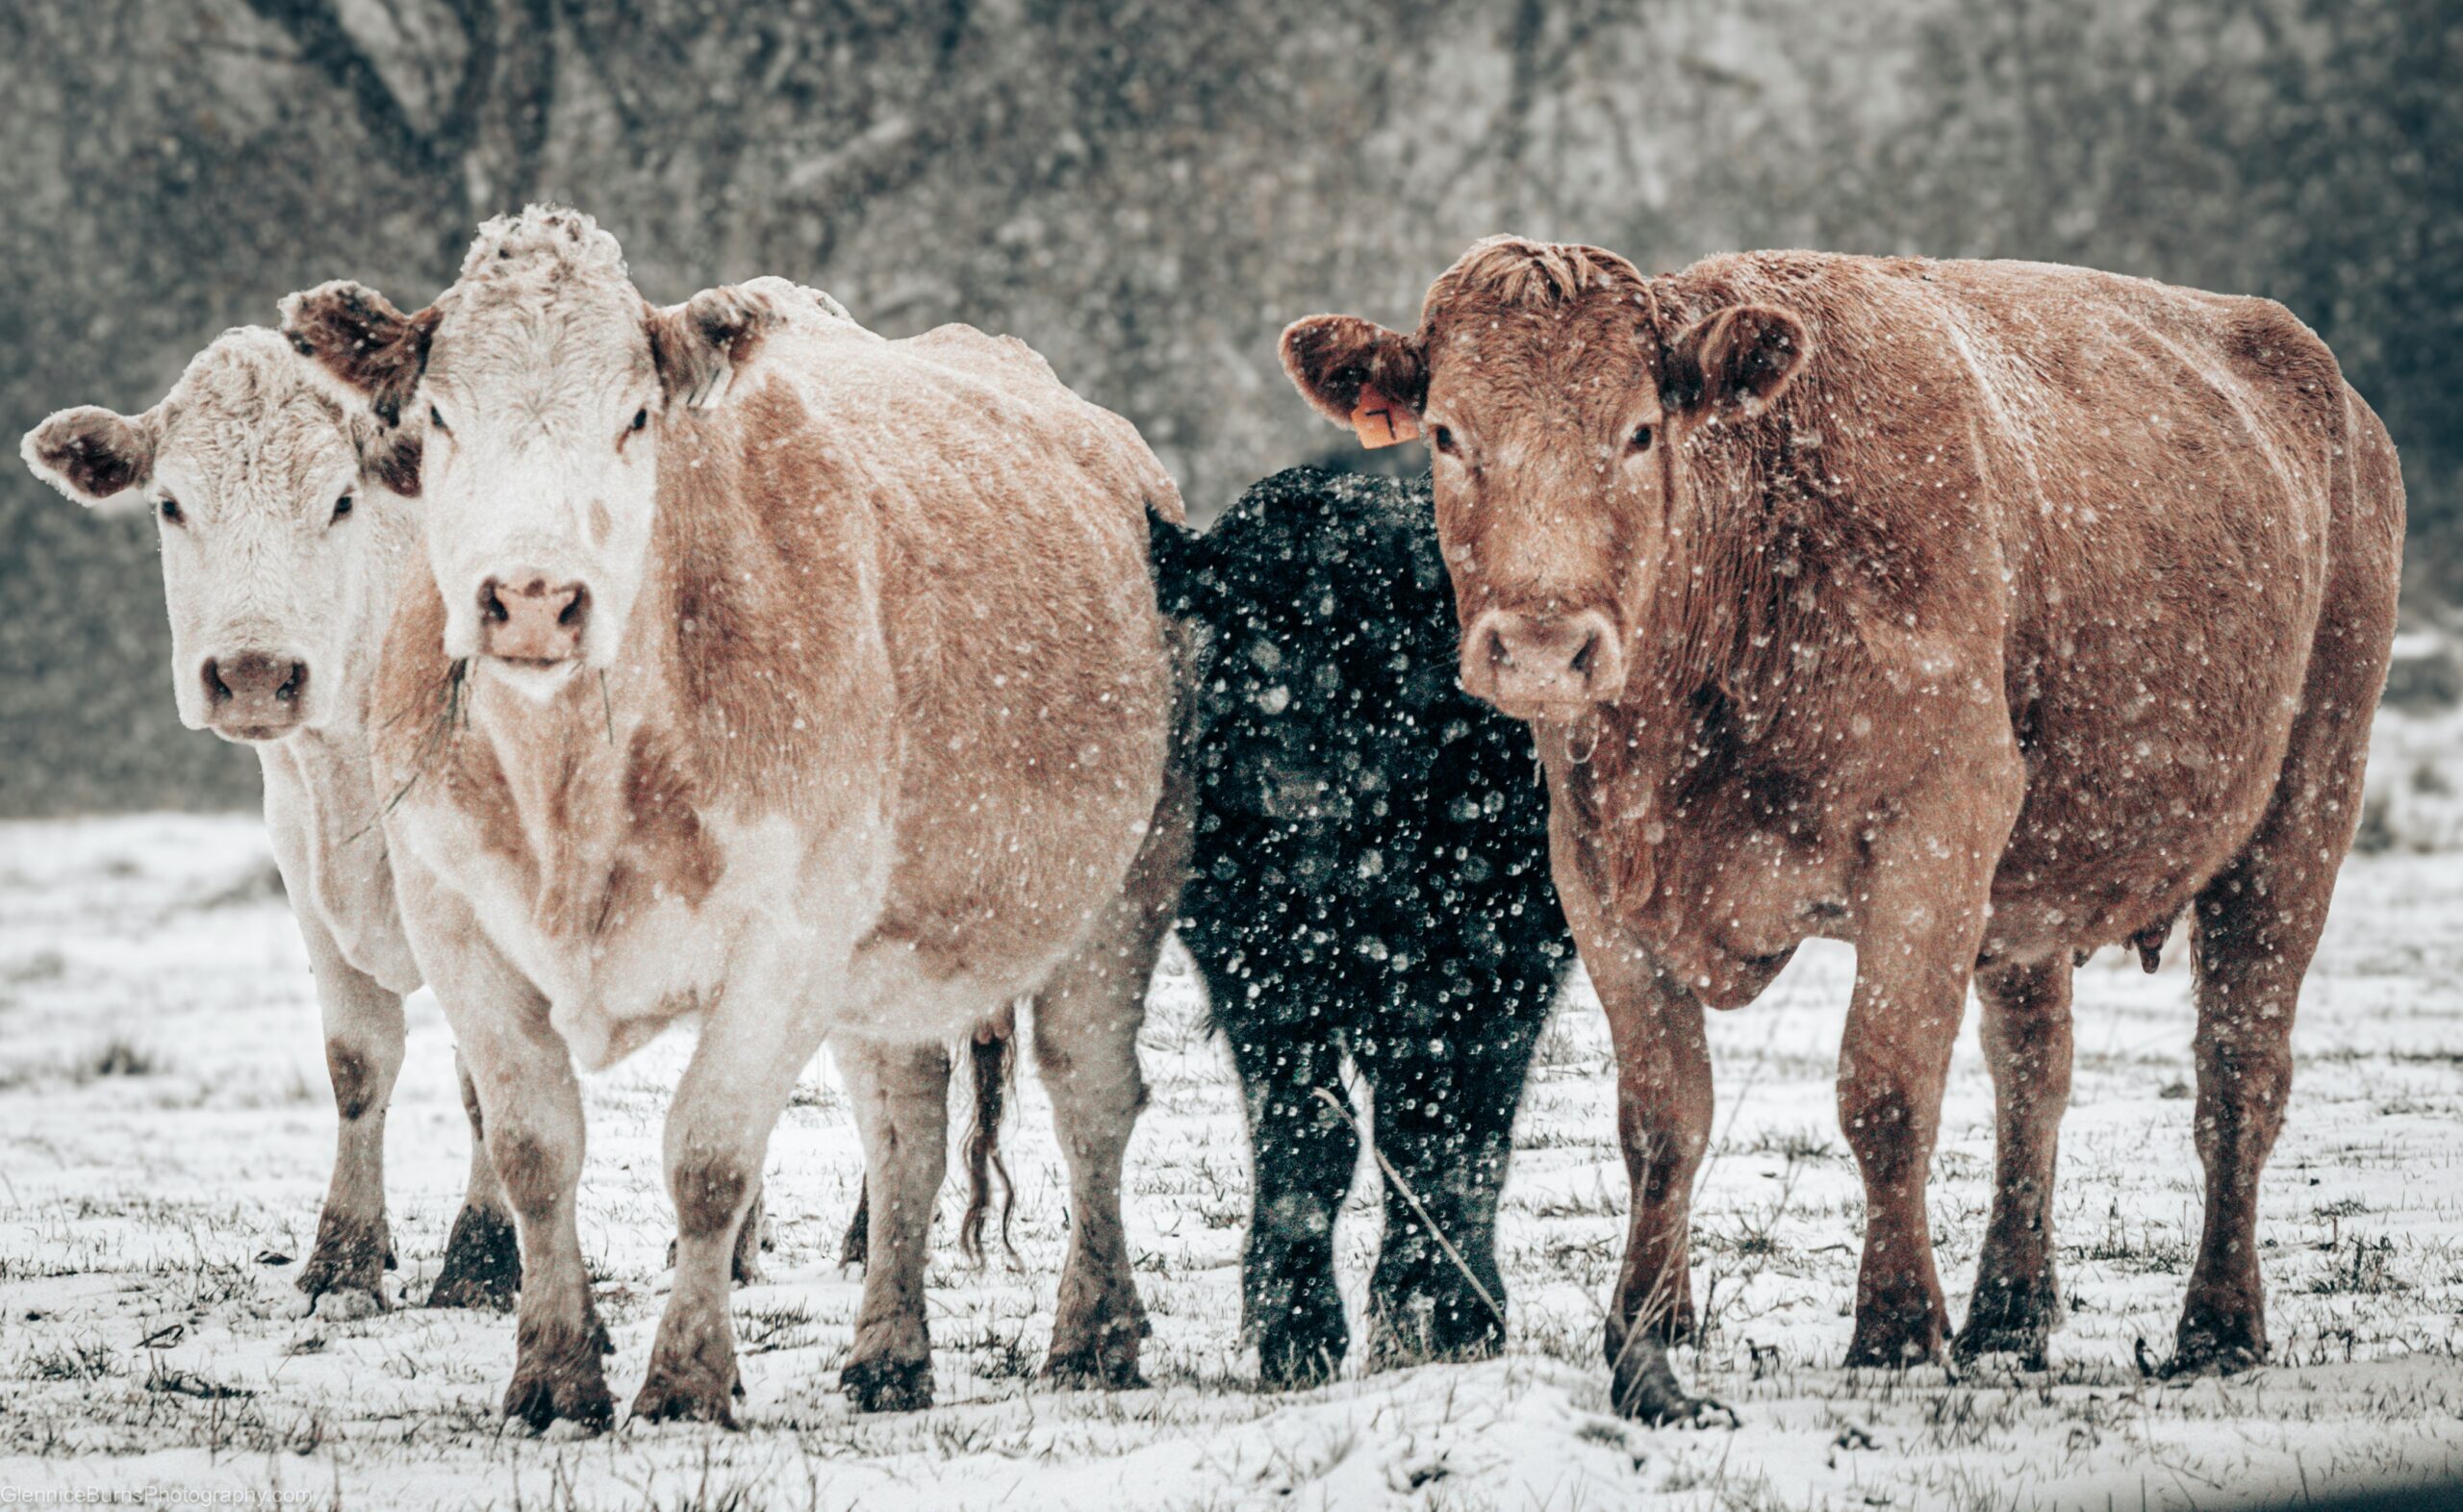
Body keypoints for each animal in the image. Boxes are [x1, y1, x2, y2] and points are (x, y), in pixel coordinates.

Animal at [19, 329, 524, 1316]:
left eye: (342, 500)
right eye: (171, 504)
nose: (254, 673)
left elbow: (488, 1072)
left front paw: (482, 1265)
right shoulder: (304, 876)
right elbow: (357, 1063)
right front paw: (345, 1260)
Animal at [281, 204, 1188, 1431]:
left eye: (636, 417)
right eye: (438, 418)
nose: (531, 599)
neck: (575, 785)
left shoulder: (785, 933)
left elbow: (709, 1159)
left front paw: (685, 1382)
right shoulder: (455, 917)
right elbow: (532, 1148)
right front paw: (553, 1375)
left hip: (1122, 895)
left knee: (1090, 1099)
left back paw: (1093, 1333)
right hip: (886, 952)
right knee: (904, 1133)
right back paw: (888, 1353)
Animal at [1146, 467, 1573, 1386]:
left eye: (1382, 637)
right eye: (1237, 618)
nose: (1289, 775)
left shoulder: (1491, 980)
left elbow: (1438, 1143)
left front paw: (1429, 1322)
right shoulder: (1256, 976)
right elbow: (1307, 1142)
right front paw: (1294, 1332)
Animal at [1279, 239, 2404, 1420]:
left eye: (1639, 431)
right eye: (1448, 434)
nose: (1543, 645)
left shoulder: (1934, 837)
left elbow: (1884, 1091)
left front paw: (1898, 1331)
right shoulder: (1597, 879)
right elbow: (1662, 1116)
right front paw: (1644, 1334)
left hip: (2303, 807)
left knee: (2239, 1071)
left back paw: (2218, 1327)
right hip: (2031, 888)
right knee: (2033, 1076)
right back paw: (2008, 1316)